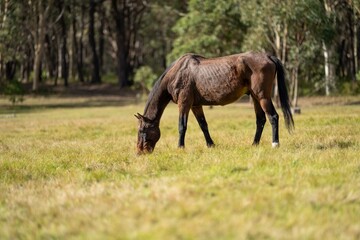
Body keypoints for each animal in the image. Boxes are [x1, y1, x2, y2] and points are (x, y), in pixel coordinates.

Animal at [134, 51, 292, 155]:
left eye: (142, 130)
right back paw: (254, 144)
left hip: (262, 97)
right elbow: (203, 125)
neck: (178, 73)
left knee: (273, 117)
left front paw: (180, 147)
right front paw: (211, 144)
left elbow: (182, 126)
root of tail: (268, 56)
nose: (140, 152)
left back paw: (275, 144)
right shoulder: (195, 105)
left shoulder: (184, 103)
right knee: (260, 120)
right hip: (255, 98)